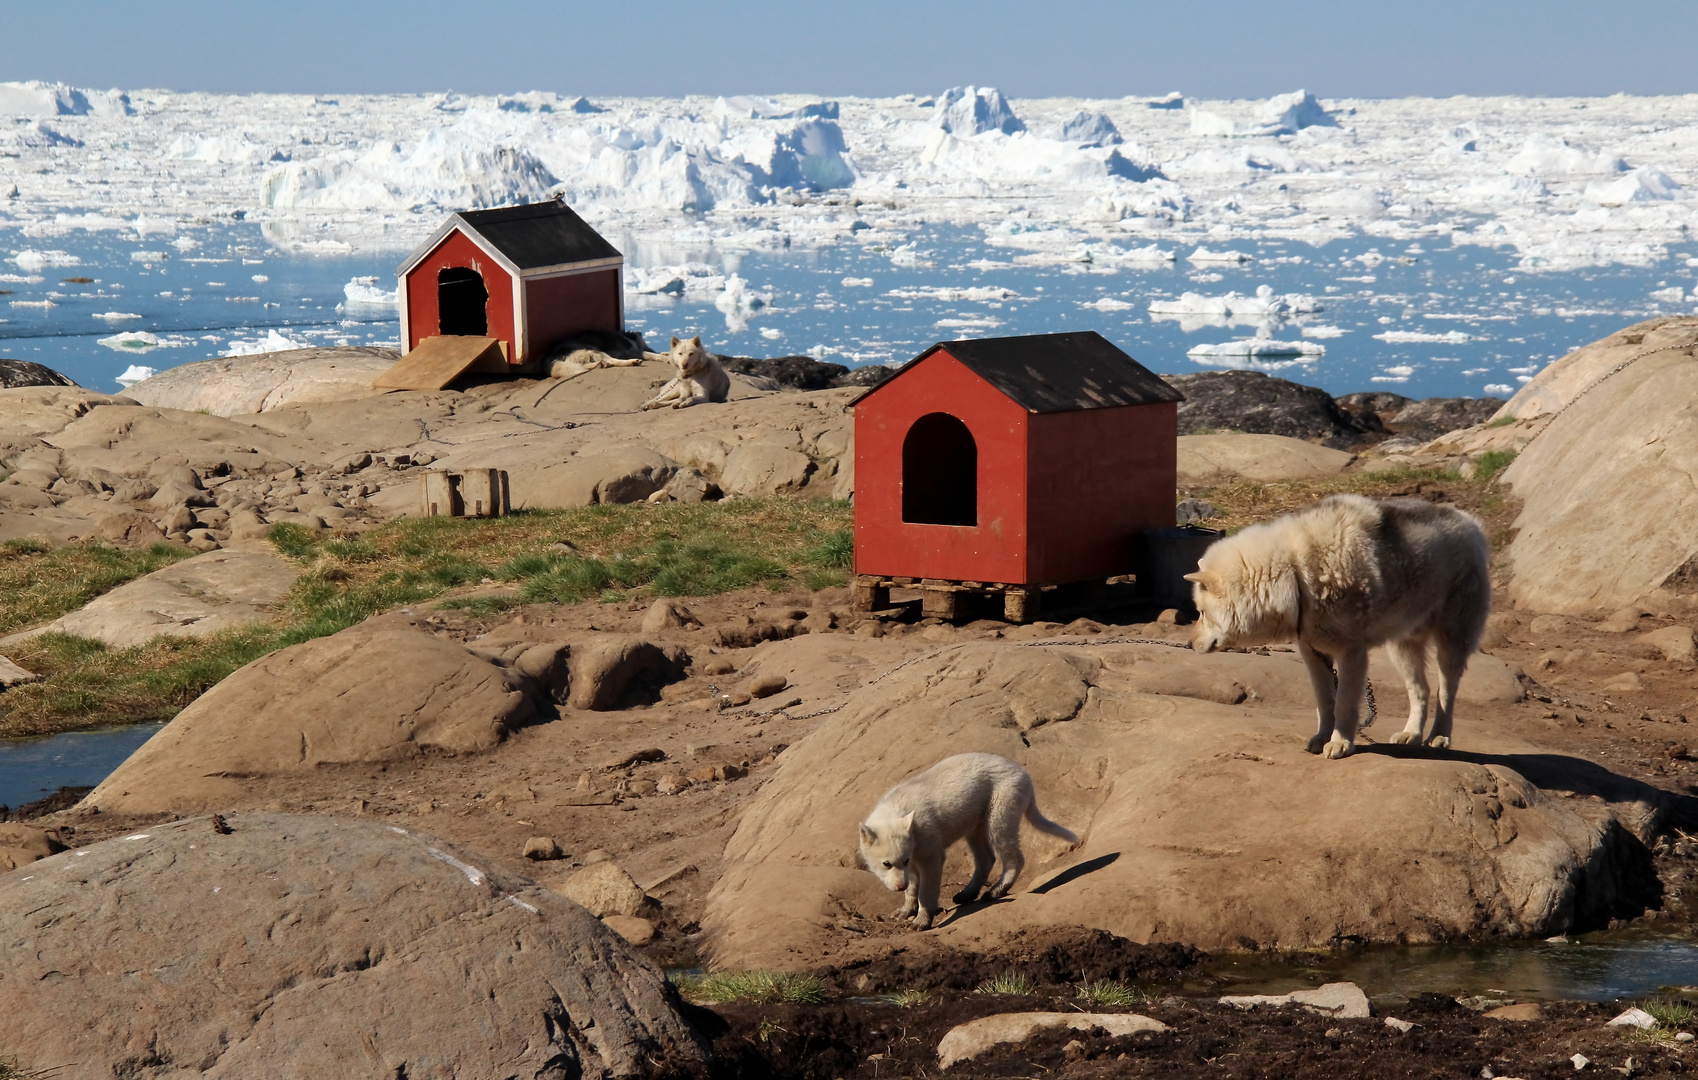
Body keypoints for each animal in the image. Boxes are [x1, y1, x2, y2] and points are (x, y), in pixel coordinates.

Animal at [855, 750, 1079, 930]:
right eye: (886, 863)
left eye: (898, 861)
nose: (899, 887)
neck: (896, 807)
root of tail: (1026, 777)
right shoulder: (913, 846)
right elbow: (913, 881)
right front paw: (904, 911)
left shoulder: (928, 841)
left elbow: (928, 881)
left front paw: (921, 921)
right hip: (976, 818)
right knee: (985, 856)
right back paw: (965, 894)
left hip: (1002, 801)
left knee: (1009, 849)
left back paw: (994, 891)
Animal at [1188, 495, 1494, 760]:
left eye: (1201, 613)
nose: (1189, 644)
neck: (1296, 572)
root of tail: (1471, 522)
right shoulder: (1313, 654)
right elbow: (1325, 703)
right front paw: (1321, 738)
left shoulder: (1352, 655)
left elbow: (1344, 704)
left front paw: (1340, 744)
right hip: (1402, 649)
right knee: (1422, 691)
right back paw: (1411, 735)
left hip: (1451, 644)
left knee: (1445, 692)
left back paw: (1439, 736)